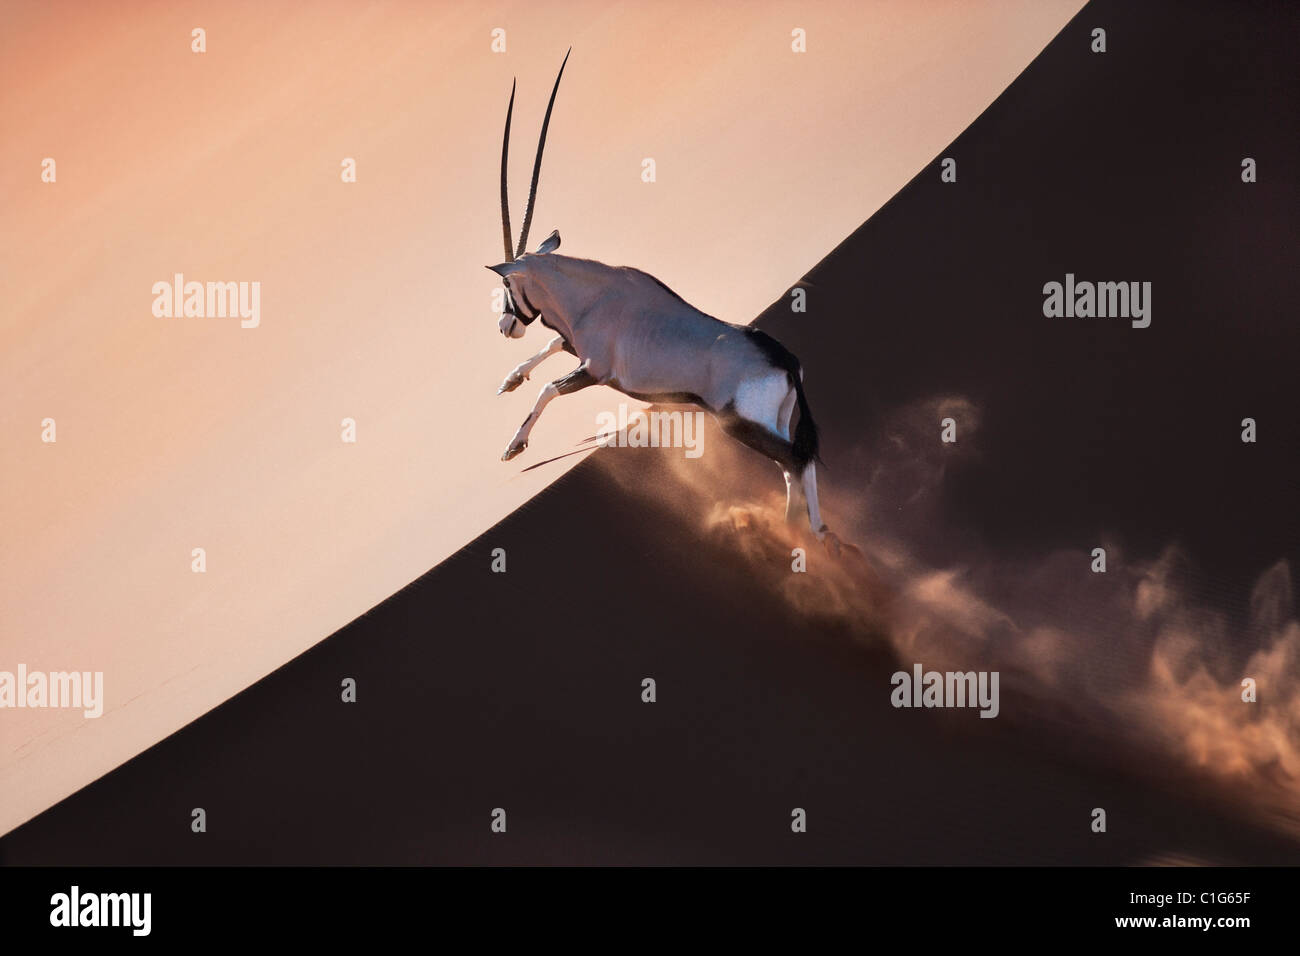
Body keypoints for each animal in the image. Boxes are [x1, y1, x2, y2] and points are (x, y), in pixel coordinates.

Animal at [488, 52, 832, 541]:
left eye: (506, 285)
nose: (506, 326)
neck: (590, 294)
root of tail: (783, 359)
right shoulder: (575, 344)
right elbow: (553, 342)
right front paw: (510, 379)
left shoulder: (594, 371)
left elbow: (549, 390)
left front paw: (514, 446)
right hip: (777, 420)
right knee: (793, 468)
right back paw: (799, 529)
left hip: (742, 425)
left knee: (797, 462)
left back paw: (808, 535)